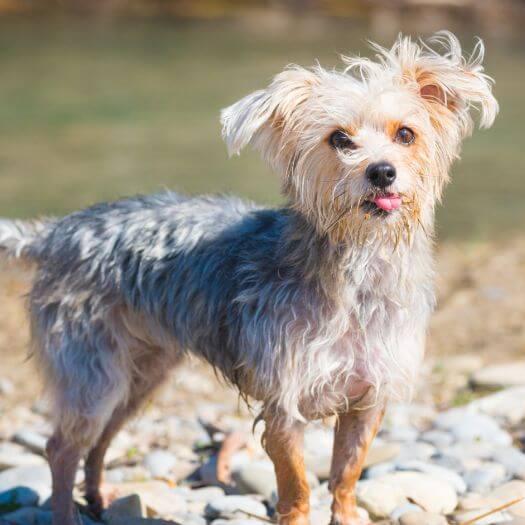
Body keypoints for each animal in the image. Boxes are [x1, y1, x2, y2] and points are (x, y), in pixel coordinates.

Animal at [0, 32, 498, 524]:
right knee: (62, 447)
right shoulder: (284, 405)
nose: (382, 171)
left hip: (140, 376)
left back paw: (99, 499)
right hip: (93, 375)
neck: (358, 268)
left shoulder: (367, 398)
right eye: (339, 139)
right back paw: (67, 511)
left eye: (406, 134)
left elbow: (347, 476)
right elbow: (297, 487)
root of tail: (56, 233)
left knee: (99, 442)